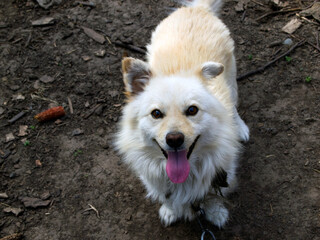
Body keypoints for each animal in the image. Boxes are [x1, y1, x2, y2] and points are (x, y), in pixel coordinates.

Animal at [115, 0, 250, 229]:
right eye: (156, 113)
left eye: (192, 110)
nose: (175, 139)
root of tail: (197, 9)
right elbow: (167, 197)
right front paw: (170, 211)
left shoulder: (220, 174)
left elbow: (213, 196)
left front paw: (216, 213)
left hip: (231, 79)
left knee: (233, 105)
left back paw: (239, 126)